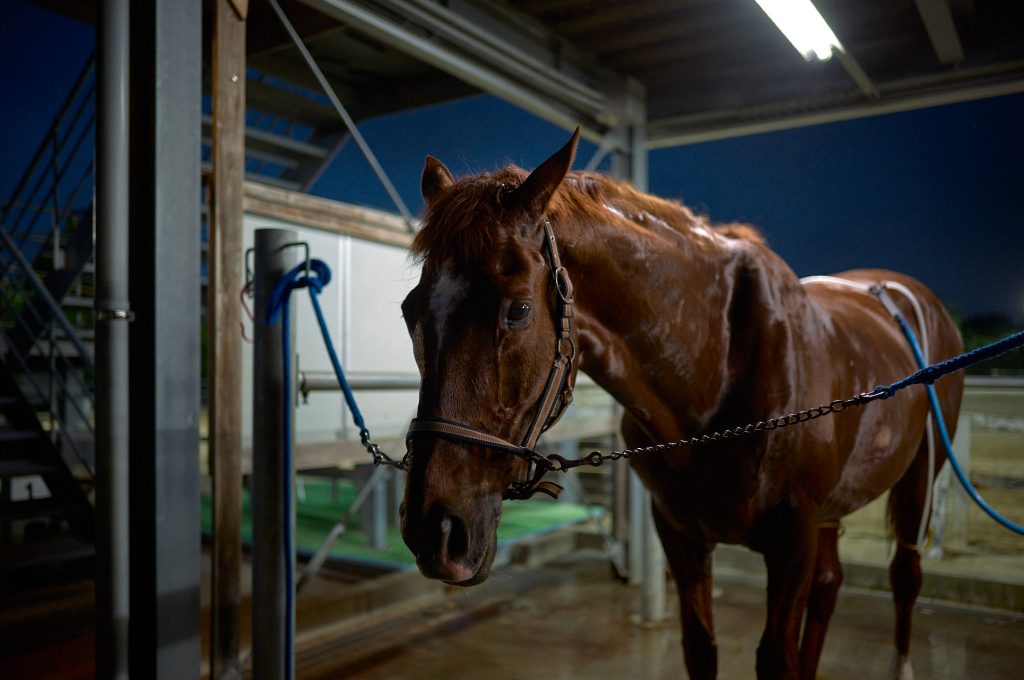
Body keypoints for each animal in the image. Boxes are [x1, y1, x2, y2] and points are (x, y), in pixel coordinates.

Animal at [397, 129, 964, 680]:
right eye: (408, 310)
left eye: (518, 310)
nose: (435, 530)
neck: (716, 370)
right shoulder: (680, 534)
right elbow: (701, 648)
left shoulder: (793, 538)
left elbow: (776, 659)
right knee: (829, 585)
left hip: (921, 474)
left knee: (905, 575)